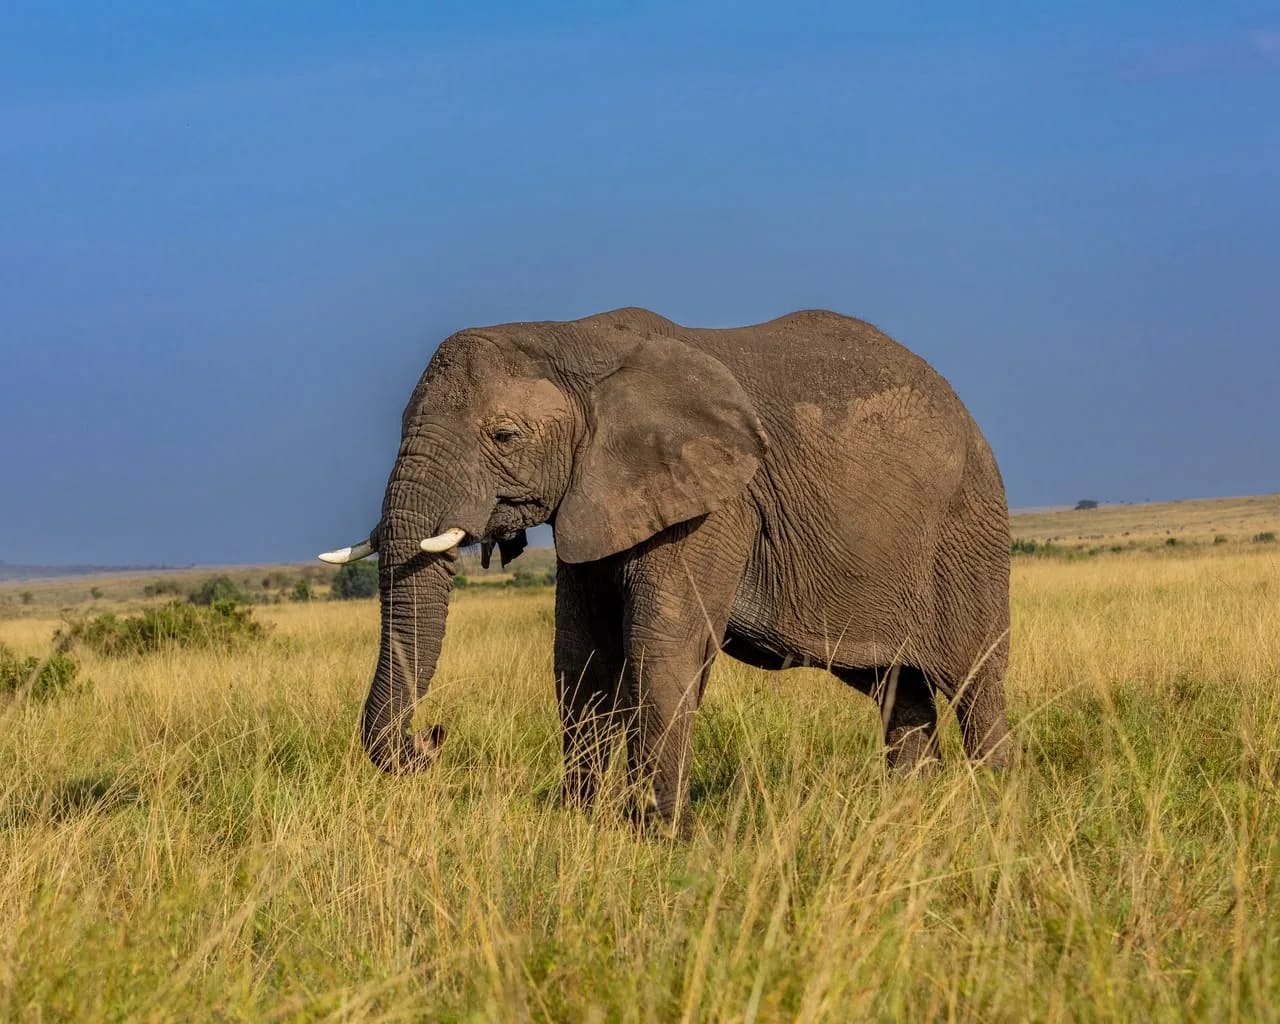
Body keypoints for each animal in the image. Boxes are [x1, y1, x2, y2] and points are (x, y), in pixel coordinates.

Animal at [320, 307, 1012, 830]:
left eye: (505, 436)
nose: (431, 739)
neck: (573, 339)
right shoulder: (595, 493)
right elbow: (581, 653)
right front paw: (580, 825)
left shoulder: (716, 501)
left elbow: (662, 642)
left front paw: (656, 835)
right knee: (899, 690)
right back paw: (913, 814)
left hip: (970, 527)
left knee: (976, 682)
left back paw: (995, 807)